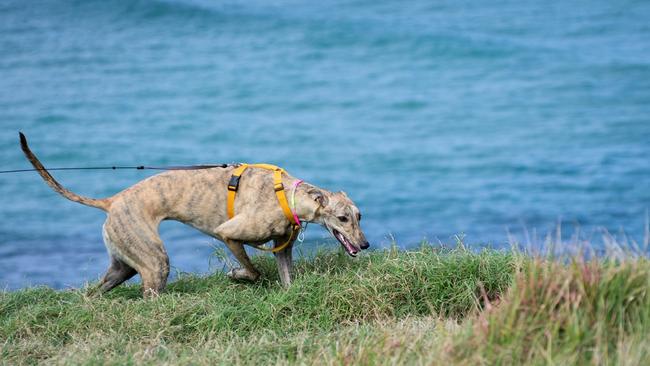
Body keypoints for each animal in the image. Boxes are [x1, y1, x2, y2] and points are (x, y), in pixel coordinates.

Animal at [17, 133, 368, 298]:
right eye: (342, 218)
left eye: (359, 216)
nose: (364, 245)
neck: (288, 195)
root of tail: (113, 201)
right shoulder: (229, 233)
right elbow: (252, 271)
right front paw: (237, 275)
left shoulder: (283, 248)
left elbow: (286, 279)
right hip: (154, 262)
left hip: (123, 265)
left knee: (96, 291)